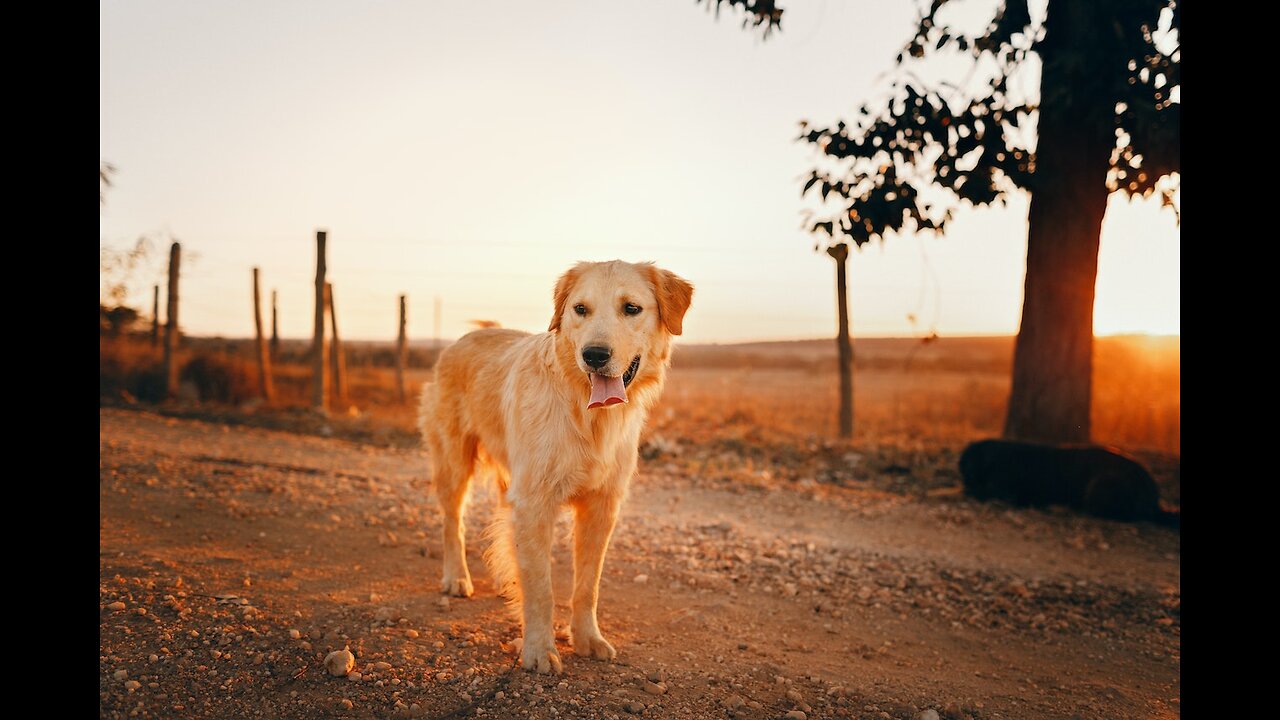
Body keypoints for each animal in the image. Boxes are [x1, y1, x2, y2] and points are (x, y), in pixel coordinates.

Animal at [417, 258, 691, 671]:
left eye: (631, 308)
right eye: (580, 309)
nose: (594, 355)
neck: (587, 415)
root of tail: (466, 338)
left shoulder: (601, 507)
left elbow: (587, 586)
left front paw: (587, 638)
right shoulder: (535, 502)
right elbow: (541, 588)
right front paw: (539, 649)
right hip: (454, 462)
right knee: (453, 523)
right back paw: (457, 578)